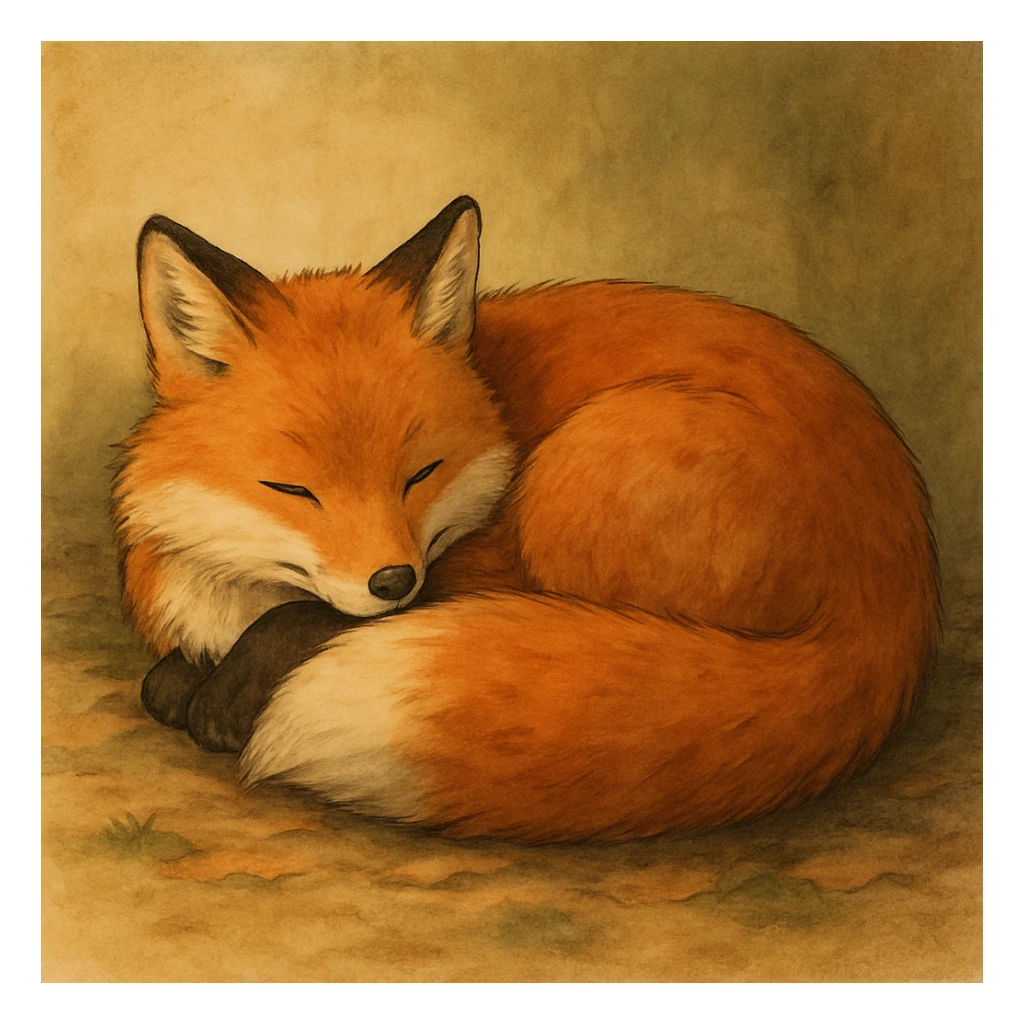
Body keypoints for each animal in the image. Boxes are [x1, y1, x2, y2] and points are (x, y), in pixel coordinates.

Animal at [112, 196, 939, 843]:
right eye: (292, 490)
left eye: (421, 475)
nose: (393, 581)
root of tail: (898, 599)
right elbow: (168, 676)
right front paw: (192, 674)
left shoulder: (473, 565)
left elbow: (303, 624)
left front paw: (229, 693)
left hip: (584, 462)